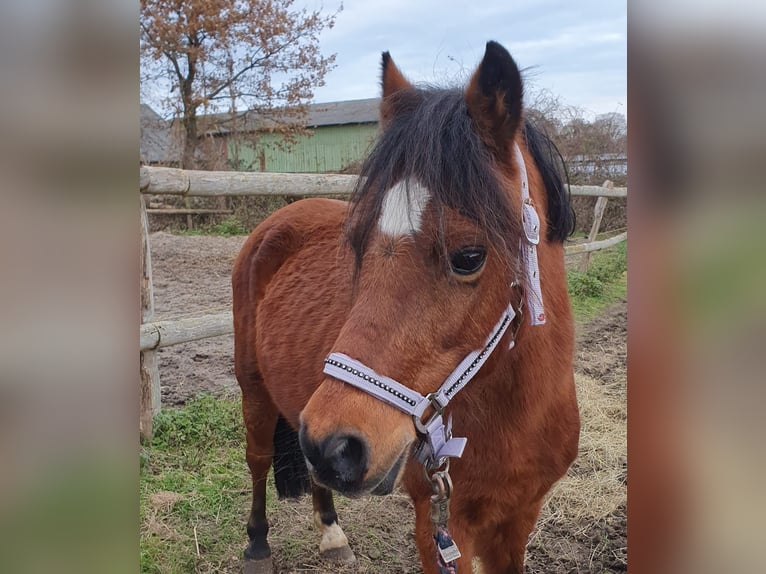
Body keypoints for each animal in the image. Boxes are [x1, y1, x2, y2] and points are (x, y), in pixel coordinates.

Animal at [232, 40, 580, 574]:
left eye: (469, 256)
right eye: (356, 244)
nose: (334, 445)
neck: (517, 417)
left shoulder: (519, 518)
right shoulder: (439, 528)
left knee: (314, 478)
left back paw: (331, 533)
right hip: (253, 389)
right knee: (257, 459)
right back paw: (257, 543)